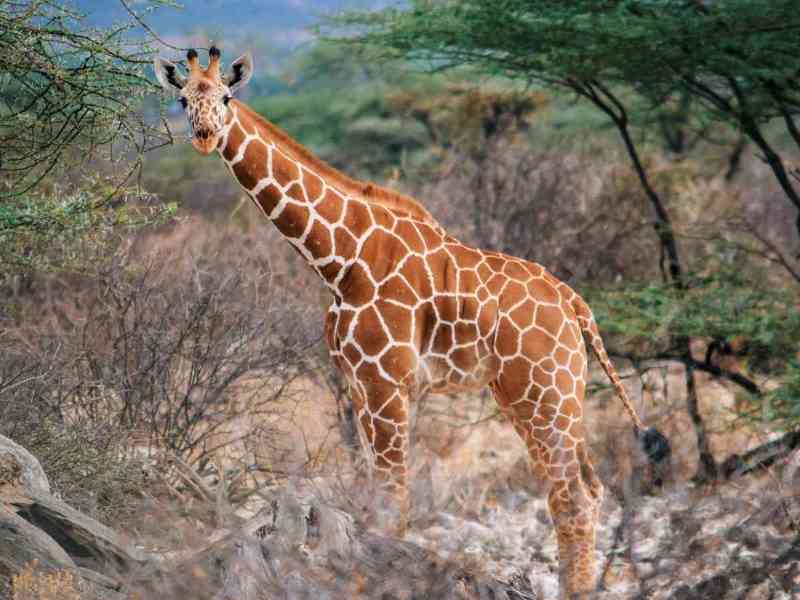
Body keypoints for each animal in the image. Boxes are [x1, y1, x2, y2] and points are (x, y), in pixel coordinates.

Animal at [154, 48, 669, 599]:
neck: (339, 258)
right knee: (586, 488)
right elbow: (374, 498)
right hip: (539, 394)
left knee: (572, 496)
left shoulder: (386, 382)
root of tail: (574, 303)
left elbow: (393, 502)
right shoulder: (359, 386)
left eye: (227, 97)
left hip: (544, 392)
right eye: (182, 100)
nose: (205, 135)